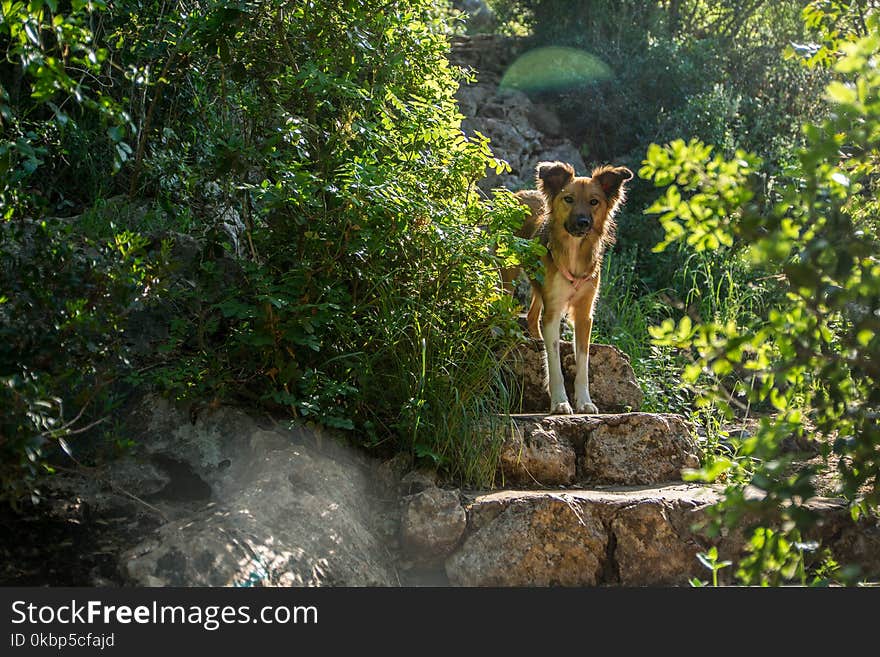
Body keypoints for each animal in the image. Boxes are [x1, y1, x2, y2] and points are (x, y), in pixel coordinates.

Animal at [508, 161, 632, 412]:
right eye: (569, 199)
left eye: (594, 201)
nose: (583, 222)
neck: (574, 252)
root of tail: (522, 193)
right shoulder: (554, 311)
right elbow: (554, 362)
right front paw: (559, 401)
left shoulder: (584, 315)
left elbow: (583, 364)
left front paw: (585, 401)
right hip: (507, 271)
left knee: (532, 314)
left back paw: (535, 338)